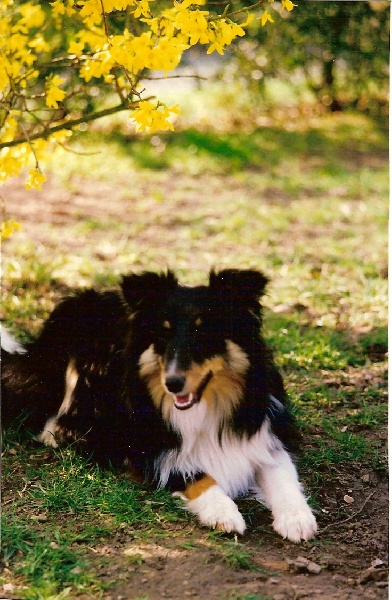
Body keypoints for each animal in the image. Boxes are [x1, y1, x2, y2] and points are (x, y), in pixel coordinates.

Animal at [1, 270, 316, 540]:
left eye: (204, 332)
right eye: (164, 333)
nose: (172, 384)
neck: (207, 406)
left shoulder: (263, 435)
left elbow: (282, 473)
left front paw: (297, 518)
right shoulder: (149, 448)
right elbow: (195, 473)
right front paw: (224, 512)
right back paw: (58, 432)